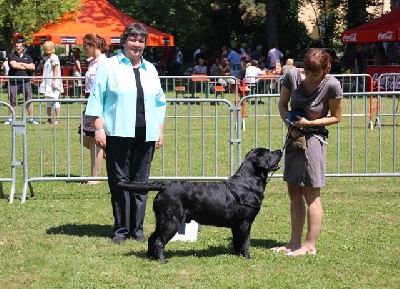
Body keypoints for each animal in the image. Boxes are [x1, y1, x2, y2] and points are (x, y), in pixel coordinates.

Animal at [118, 147, 282, 262]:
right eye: (269, 153)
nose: (280, 150)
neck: (249, 182)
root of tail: (165, 185)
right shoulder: (245, 222)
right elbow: (245, 242)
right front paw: (248, 257)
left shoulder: (236, 225)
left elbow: (237, 242)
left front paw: (237, 256)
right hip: (172, 221)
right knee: (159, 241)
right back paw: (163, 261)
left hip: (162, 219)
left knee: (152, 238)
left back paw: (150, 257)